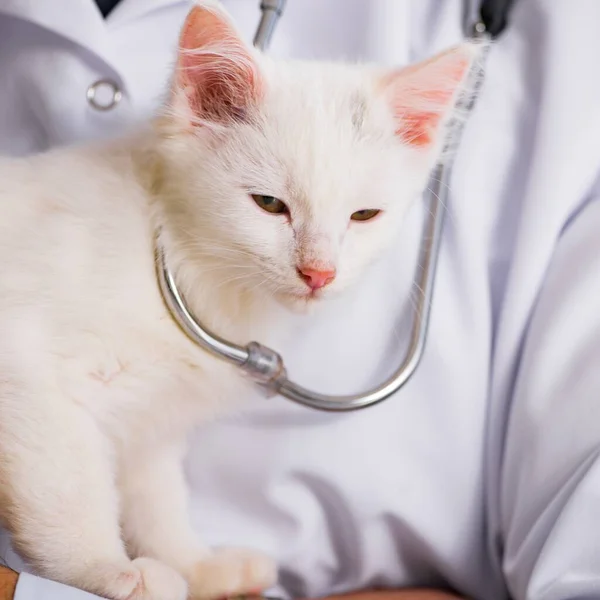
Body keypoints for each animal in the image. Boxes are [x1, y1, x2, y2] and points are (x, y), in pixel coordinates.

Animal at [0, 2, 478, 596]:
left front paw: (195, 566)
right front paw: (107, 571)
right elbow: (69, 488)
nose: (318, 273)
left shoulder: (153, 420)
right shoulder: (26, 368)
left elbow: (156, 496)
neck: (187, 260)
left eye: (364, 215)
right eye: (269, 205)